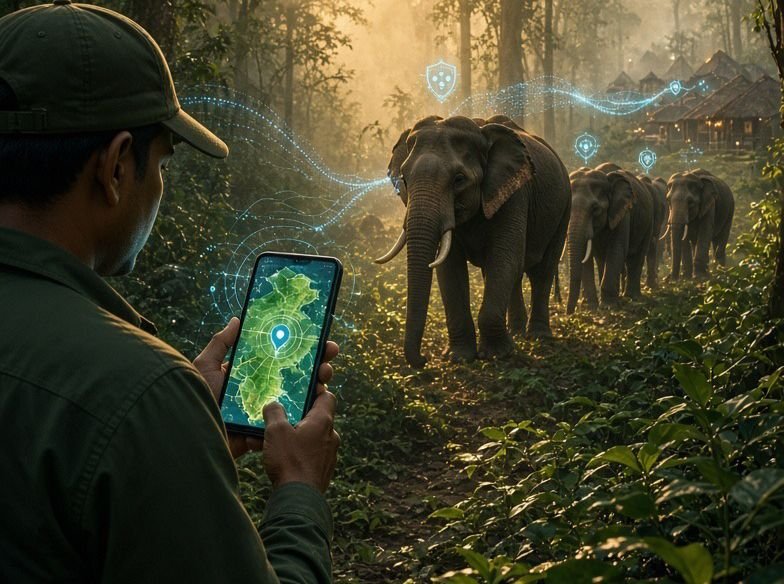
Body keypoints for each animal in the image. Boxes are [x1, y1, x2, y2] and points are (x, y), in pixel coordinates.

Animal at [375, 115, 571, 368]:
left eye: (459, 179)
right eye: (404, 180)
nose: (424, 359)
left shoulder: (514, 194)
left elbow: (504, 257)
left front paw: (497, 355)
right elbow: (451, 268)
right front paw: (459, 357)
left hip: (564, 208)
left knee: (542, 271)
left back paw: (538, 336)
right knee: (515, 274)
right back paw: (516, 333)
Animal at [566, 163, 654, 314]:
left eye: (595, 208)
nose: (569, 312)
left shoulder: (623, 213)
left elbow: (617, 250)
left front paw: (608, 307)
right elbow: (587, 257)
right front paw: (591, 308)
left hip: (648, 223)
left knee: (637, 256)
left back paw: (632, 298)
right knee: (603, 260)